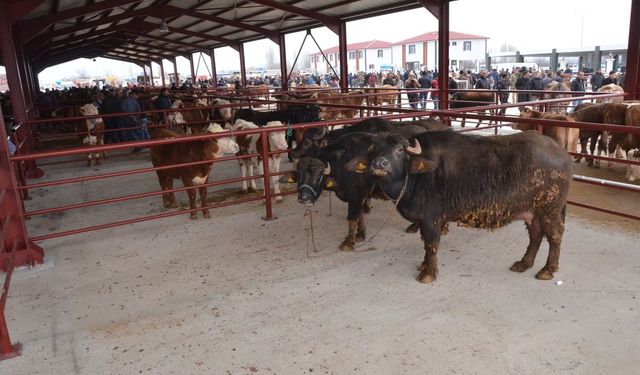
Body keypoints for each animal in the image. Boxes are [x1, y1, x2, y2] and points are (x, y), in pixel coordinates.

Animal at [350, 131, 576, 284]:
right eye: (375, 150)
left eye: (399, 150)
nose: (379, 164)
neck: (414, 177)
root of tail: (563, 153)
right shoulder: (425, 221)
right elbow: (425, 245)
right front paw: (424, 265)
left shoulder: (432, 219)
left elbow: (431, 245)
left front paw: (428, 272)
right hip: (532, 212)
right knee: (536, 235)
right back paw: (523, 263)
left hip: (550, 210)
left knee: (555, 236)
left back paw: (547, 270)